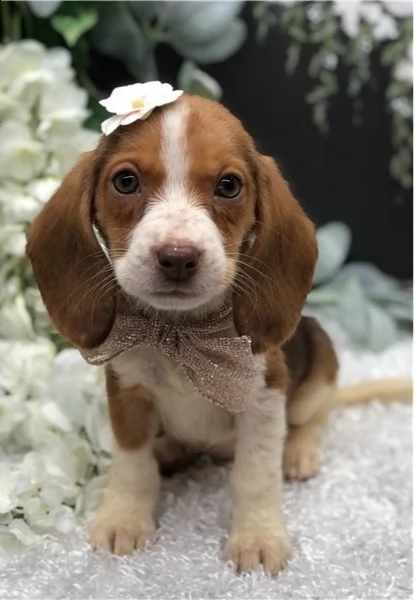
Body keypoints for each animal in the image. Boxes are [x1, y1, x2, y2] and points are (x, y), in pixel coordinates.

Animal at [26, 92, 342, 572]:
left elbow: (254, 475)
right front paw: (124, 517)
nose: (177, 256)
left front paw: (257, 537)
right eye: (126, 181)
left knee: (313, 417)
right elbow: (133, 465)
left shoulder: (265, 397)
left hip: (319, 371)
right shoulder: (126, 393)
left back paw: (299, 451)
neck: (178, 332)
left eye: (229, 186)